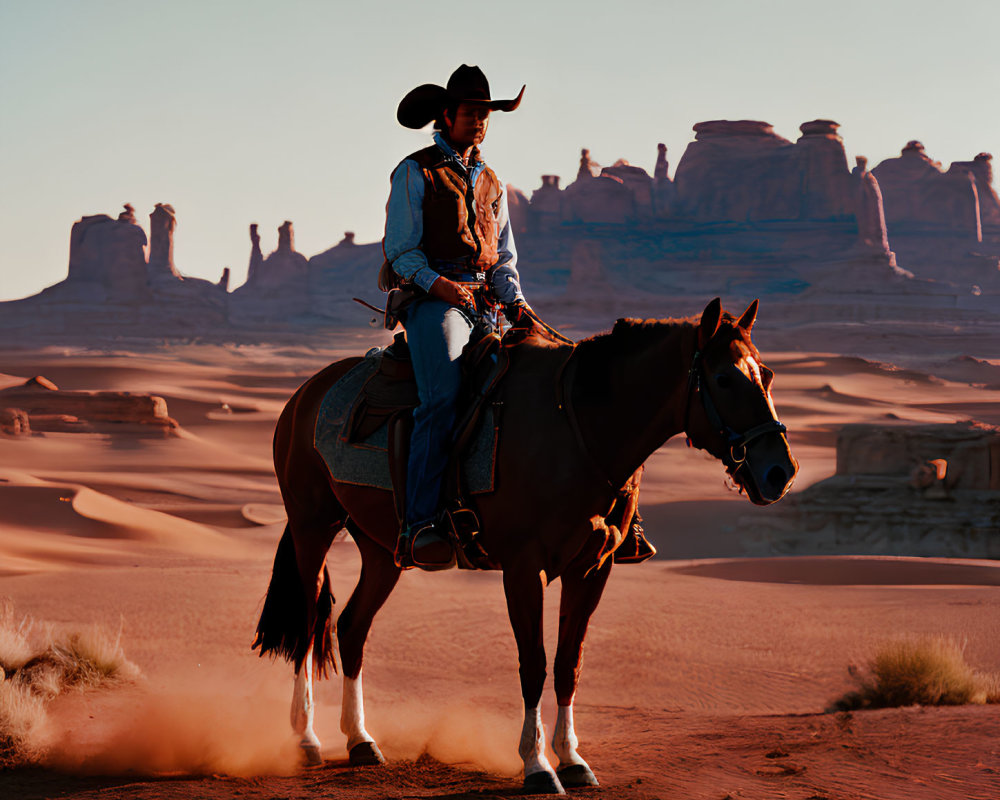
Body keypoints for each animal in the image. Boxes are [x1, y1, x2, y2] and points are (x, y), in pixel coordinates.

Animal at [256, 300, 796, 792]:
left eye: (767, 374)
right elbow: (533, 663)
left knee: (352, 627)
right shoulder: (524, 567)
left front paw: (573, 759)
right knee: (308, 624)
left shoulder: (592, 568)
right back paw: (306, 740)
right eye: (723, 379)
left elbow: (568, 663)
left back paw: (361, 741)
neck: (578, 427)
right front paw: (537, 765)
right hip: (312, 526)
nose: (780, 472)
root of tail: (306, 393)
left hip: (382, 549)